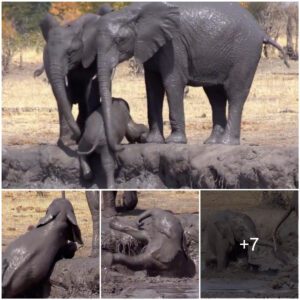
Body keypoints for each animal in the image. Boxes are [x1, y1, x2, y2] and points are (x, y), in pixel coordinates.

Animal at [37, 5, 112, 146]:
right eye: (46, 53)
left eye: (71, 52)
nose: (75, 137)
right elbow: (65, 95)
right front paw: (66, 142)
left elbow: (91, 90)